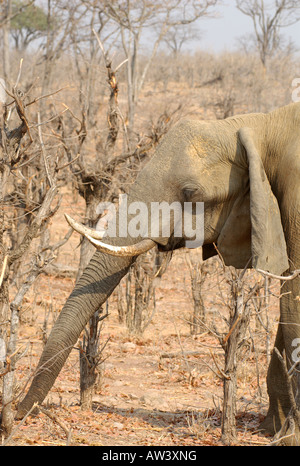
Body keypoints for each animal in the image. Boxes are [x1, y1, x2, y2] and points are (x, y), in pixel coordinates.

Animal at [17, 100, 300, 442]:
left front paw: (287, 438)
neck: (260, 127)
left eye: (190, 192)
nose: (17, 413)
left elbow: (294, 301)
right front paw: (273, 430)